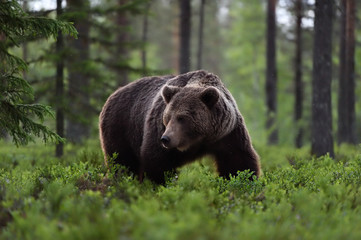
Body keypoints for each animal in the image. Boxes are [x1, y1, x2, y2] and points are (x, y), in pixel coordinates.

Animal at [100, 70, 260, 184]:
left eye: (182, 118)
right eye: (167, 117)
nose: (166, 139)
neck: (199, 139)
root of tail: (113, 94)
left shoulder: (227, 133)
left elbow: (238, 163)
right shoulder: (157, 129)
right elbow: (157, 161)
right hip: (121, 126)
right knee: (121, 162)